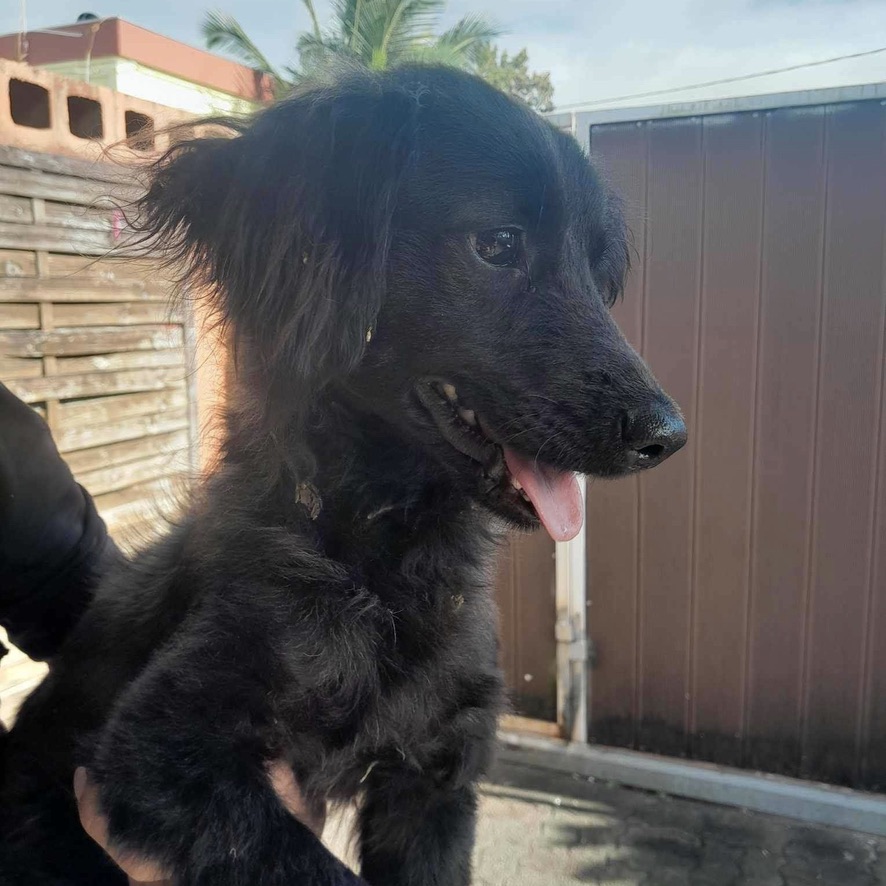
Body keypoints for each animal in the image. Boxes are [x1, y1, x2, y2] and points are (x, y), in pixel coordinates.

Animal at [0, 66, 688, 884]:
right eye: (497, 244)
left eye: (595, 267)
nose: (668, 435)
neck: (387, 566)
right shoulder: (157, 748)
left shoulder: (437, 770)